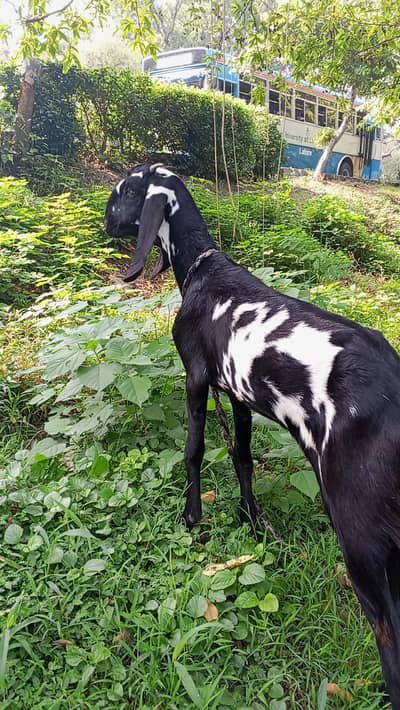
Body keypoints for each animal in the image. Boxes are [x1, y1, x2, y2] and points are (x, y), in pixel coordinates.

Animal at [105, 163, 400, 708]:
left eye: (126, 191)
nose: (104, 219)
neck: (204, 270)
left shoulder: (196, 378)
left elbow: (194, 450)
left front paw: (192, 519)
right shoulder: (238, 396)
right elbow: (242, 457)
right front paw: (251, 520)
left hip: (363, 540)